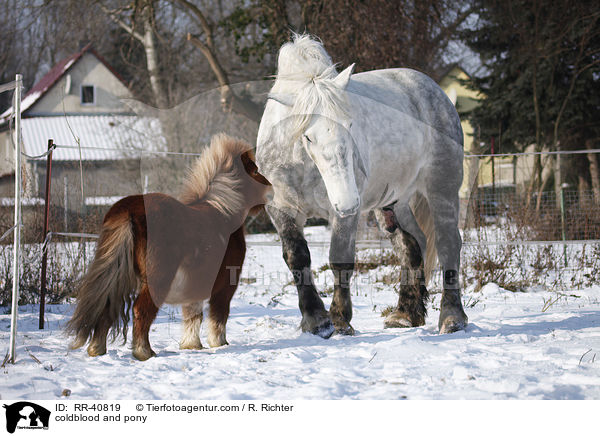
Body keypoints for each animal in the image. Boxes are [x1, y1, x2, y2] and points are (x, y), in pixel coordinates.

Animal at [65, 134, 270, 362]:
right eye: (255, 170)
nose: (270, 190)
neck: (224, 213)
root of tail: (128, 210)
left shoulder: (195, 284)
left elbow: (193, 314)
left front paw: (191, 345)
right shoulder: (225, 287)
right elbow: (218, 316)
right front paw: (219, 343)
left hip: (118, 275)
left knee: (108, 306)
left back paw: (97, 349)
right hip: (157, 281)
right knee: (140, 310)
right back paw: (144, 352)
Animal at [255, 35, 466, 338]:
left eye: (350, 123)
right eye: (308, 136)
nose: (347, 200)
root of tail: (437, 92)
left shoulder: (344, 216)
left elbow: (340, 259)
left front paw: (340, 320)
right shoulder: (280, 208)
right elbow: (296, 256)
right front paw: (315, 319)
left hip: (442, 188)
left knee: (449, 243)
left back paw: (452, 318)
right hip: (393, 203)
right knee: (413, 245)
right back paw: (405, 314)